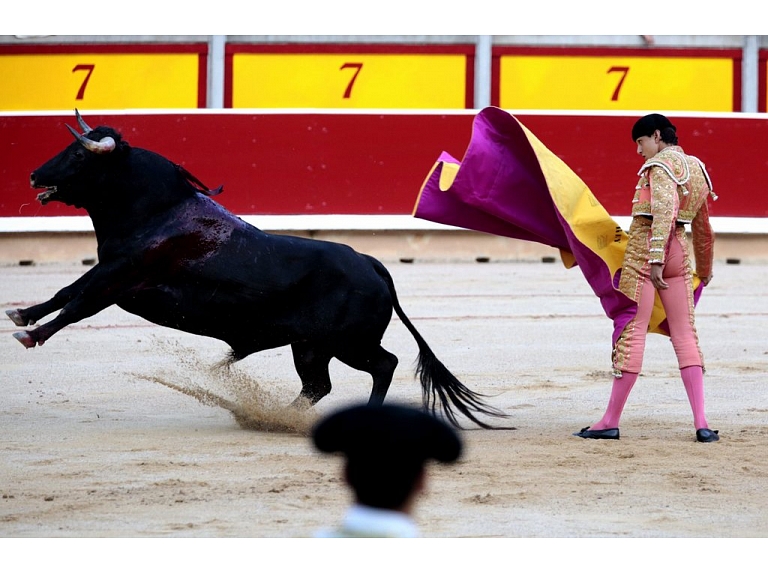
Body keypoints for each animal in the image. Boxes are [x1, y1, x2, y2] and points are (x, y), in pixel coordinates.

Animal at [7, 111, 510, 428]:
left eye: (78, 155)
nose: (33, 176)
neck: (155, 209)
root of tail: (372, 264)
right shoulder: (108, 268)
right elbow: (65, 292)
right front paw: (21, 315)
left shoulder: (120, 278)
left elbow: (78, 305)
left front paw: (31, 335)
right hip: (311, 347)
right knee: (318, 385)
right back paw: (279, 417)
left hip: (348, 343)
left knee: (383, 365)